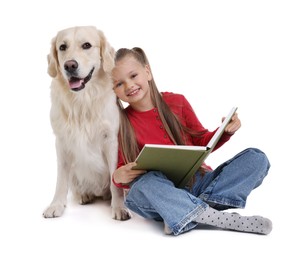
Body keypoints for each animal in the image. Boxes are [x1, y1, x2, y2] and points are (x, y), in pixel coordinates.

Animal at [42, 25, 131, 219]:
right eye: (62, 47)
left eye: (87, 45)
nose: (70, 65)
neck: (82, 100)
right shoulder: (61, 142)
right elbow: (61, 179)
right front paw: (56, 205)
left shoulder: (111, 140)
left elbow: (115, 179)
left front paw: (119, 207)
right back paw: (84, 195)